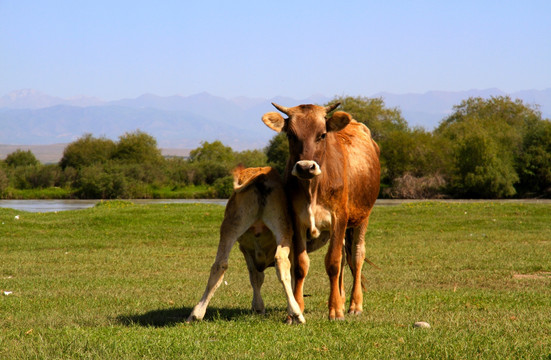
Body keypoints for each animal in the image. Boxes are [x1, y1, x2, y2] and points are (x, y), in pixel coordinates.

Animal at [188, 166, 304, 324]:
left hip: (232, 224)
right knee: (281, 261)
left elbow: (256, 277)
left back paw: (196, 313)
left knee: (220, 264)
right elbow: (257, 277)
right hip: (280, 225)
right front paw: (258, 307)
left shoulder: (246, 249)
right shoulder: (248, 250)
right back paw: (296, 313)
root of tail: (261, 174)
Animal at [264, 103, 380, 320]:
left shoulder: (339, 218)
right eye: (291, 135)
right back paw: (342, 298)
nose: (305, 167)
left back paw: (354, 305)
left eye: (322, 134)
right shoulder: (297, 220)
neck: (313, 188)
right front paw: (297, 310)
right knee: (344, 257)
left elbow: (333, 262)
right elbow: (300, 265)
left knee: (356, 256)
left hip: (363, 217)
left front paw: (335, 310)